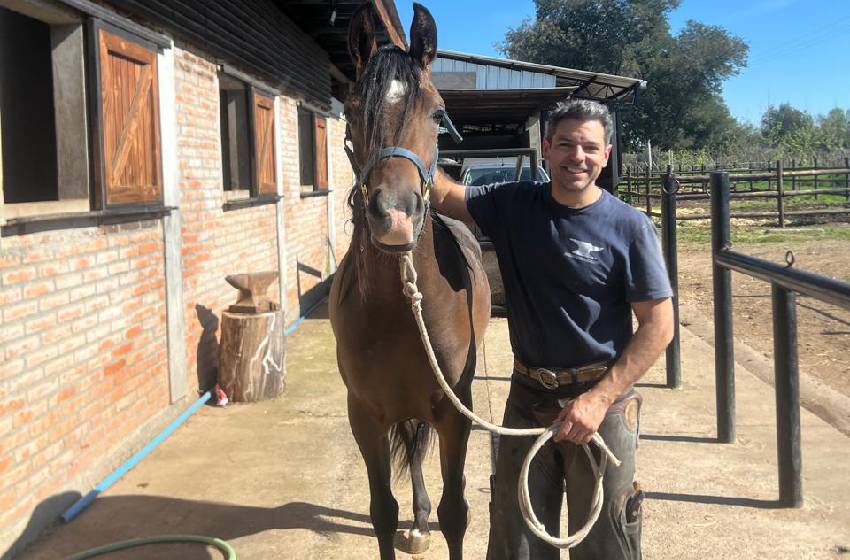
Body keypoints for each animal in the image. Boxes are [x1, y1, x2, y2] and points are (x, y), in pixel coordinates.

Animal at [328, 3, 491, 559]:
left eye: (439, 113)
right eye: (351, 111)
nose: (394, 218)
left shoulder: (455, 413)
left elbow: (456, 513)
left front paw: (437, 520)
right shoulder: (365, 417)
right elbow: (382, 510)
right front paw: (407, 518)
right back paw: (417, 522)